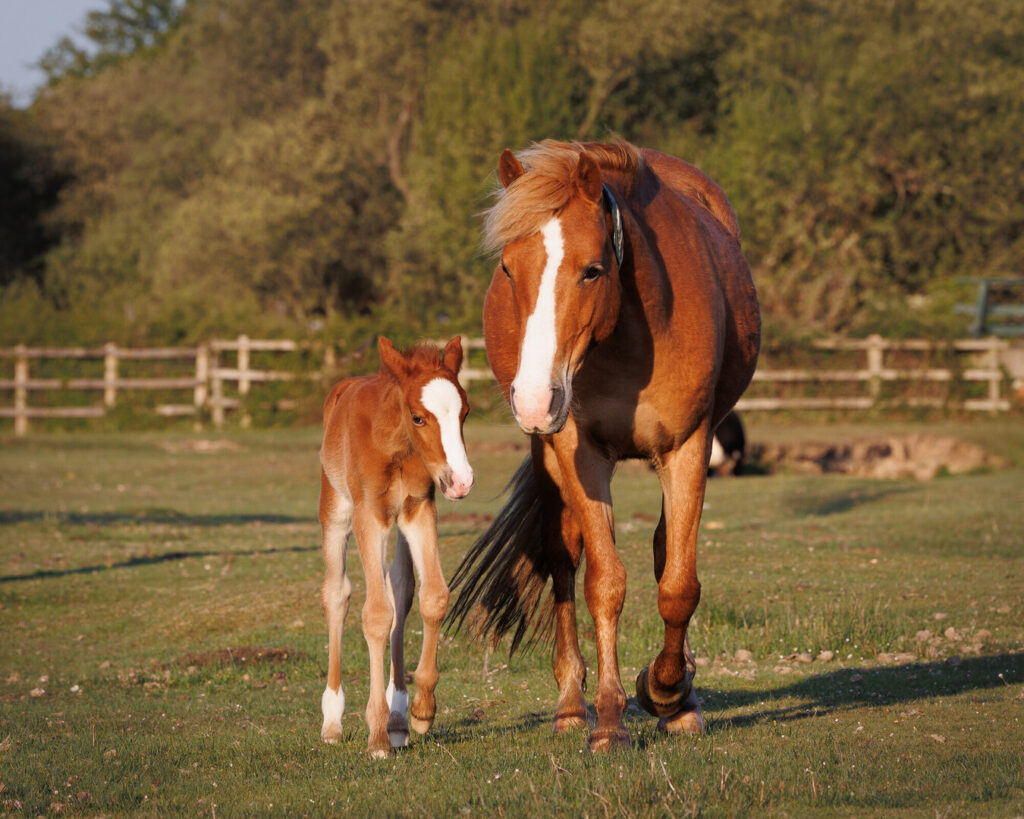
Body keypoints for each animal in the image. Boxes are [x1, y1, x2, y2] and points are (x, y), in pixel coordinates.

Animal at [318, 336, 474, 758]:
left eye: (465, 413)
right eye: (419, 417)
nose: (461, 482)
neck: (397, 447)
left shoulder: (419, 509)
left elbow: (433, 597)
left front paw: (422, 711)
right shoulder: (369, 516)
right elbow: (374, 615)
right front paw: (375, 737)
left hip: (400, 524)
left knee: (400, 589)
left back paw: (399, 718)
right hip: (336, 509)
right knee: (337, 594)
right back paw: (333, 720)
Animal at [446, 140, 760, 751]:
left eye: (592, 271)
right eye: (507, 268)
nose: (533, 399)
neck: (629, 338)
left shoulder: (690, 446)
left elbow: (678, 583)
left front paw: (667, 691)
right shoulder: (579, 451)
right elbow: (603, 582)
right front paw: (611, 719)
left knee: (665, 553)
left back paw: (679, 697)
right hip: (552, 459)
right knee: (562, 557)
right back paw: (572, 706)